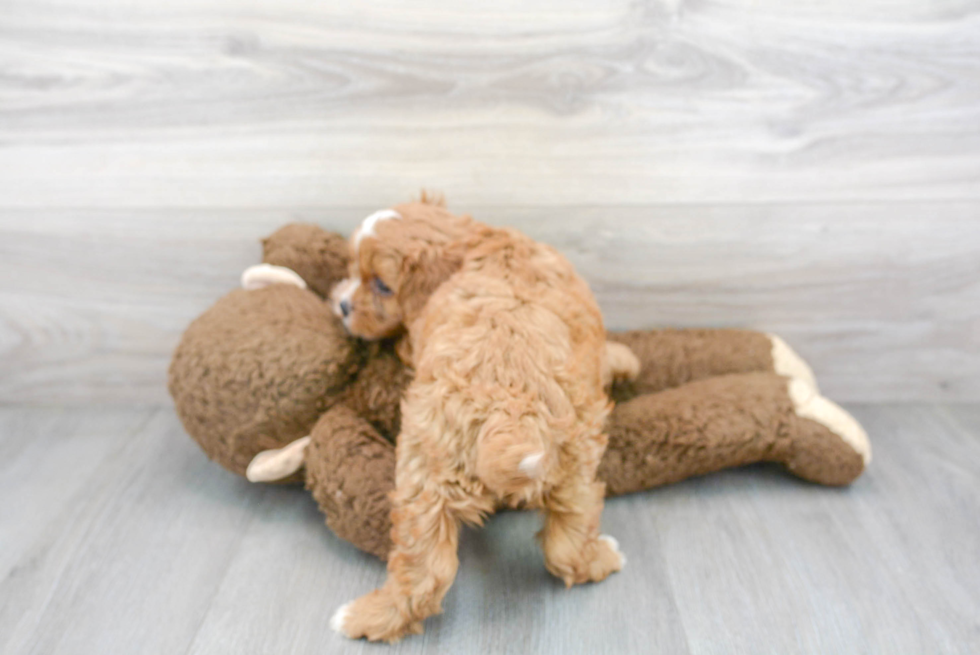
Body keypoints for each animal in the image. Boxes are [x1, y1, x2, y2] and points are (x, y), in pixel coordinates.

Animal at [328, 202, 620, 644]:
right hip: (577, 460)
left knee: (427, 570)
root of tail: (508, 411)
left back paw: (363, 618)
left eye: (380, 285)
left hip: (430, 476)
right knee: (567, 541)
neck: (469, 240)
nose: (343, 306)